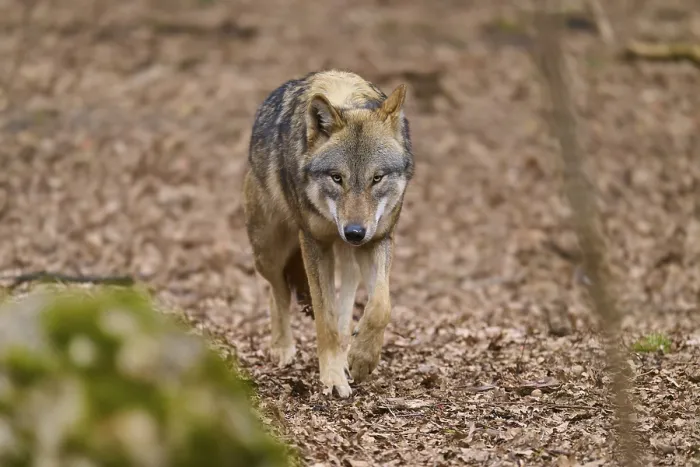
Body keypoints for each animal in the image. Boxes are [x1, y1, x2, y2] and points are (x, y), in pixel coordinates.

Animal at [242, 70, 414, 398]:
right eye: (337, 178)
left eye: (377, 178)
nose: (354, 232)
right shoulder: (314, 243)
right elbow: (325, 319)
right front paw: (333, 378)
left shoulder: (378, 239)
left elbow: (380, 306)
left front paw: (361, 358)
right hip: (269, 251)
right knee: (278, 291)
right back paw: (282, 348)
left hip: (347, 260)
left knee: (343, 305)